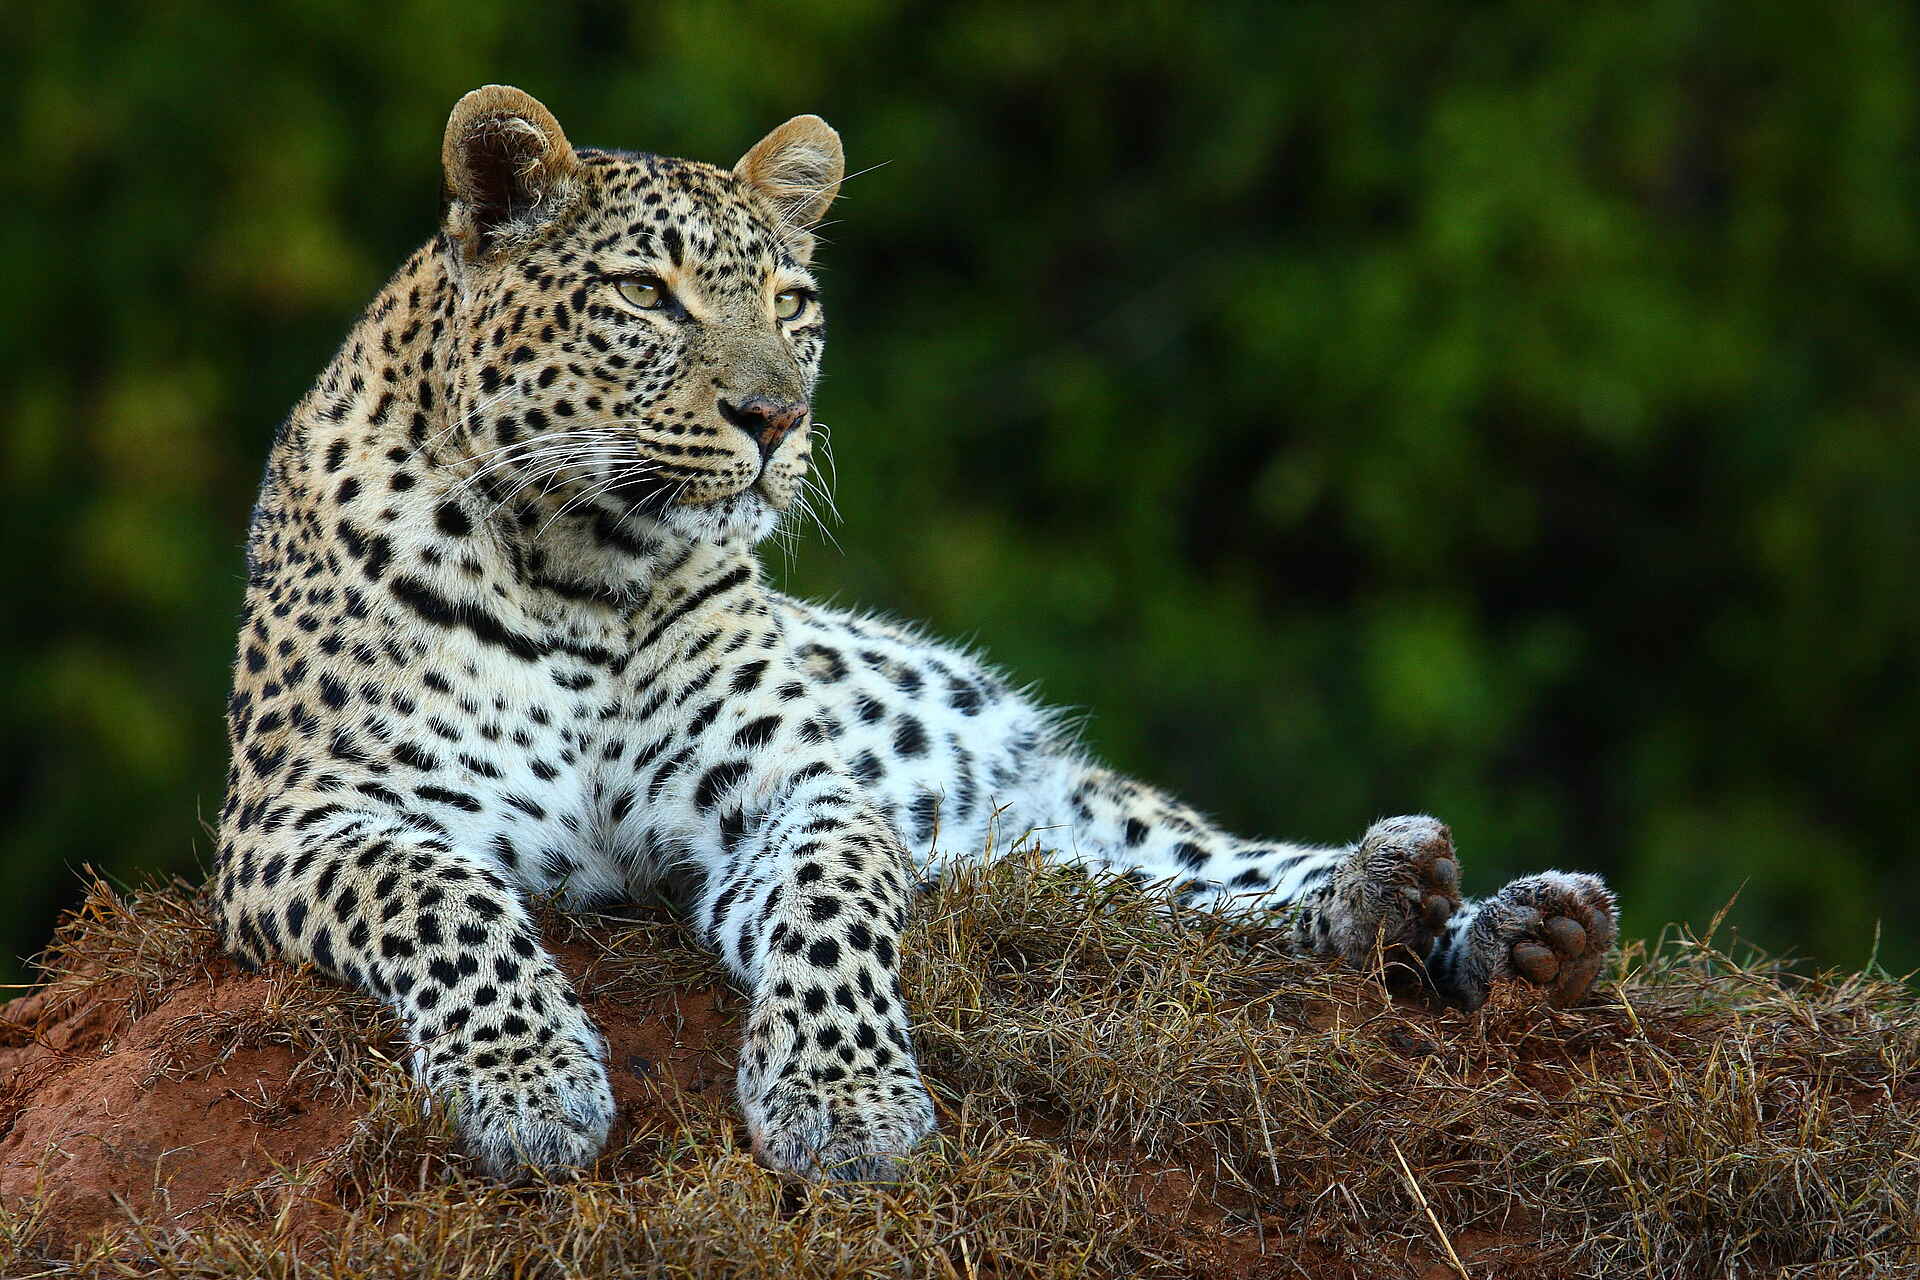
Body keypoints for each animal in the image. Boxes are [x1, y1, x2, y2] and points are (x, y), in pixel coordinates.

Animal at [214, 84, 1619, 1184]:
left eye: (792, 302)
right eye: (647, 293)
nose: (776, 416)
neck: (583, 573)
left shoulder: (802, 788)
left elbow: (832, 913)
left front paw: (845, 1100)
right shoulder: (296, 820)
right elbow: (442, 895)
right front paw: (525, 1083)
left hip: (1103, 830)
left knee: (1229, 877)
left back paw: (1489, 920)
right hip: (1044, 865)